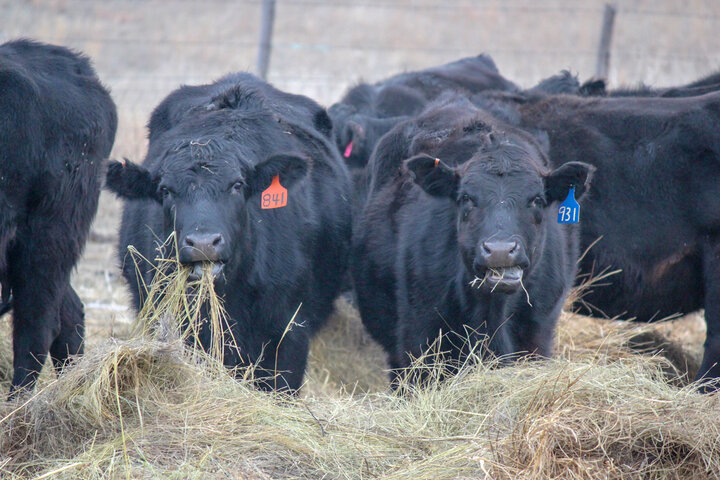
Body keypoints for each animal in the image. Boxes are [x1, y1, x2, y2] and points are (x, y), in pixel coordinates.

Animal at [348, 98, 592, 382]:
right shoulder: (419, 336)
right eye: (466, 198)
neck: (491, 314)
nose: (499, 250)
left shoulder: (537, 334)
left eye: (537, 200)